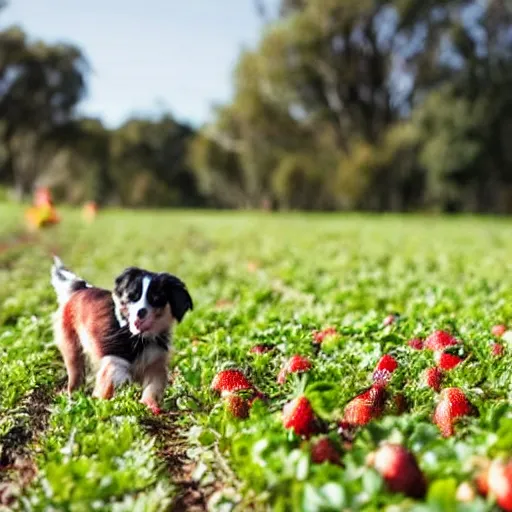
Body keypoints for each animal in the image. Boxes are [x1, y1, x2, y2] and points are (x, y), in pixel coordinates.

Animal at [50, 254, 192, 414]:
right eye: (132, 297)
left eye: (156, 299)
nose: (141, 312)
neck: (138, 338)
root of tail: (81, 288)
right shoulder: (114, 362)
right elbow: (107, 386)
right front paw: (100, 405)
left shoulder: (155, 365)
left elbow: (153, 387)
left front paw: (148, 405)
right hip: (71, 347)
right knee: (75, 372)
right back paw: (73, 398)